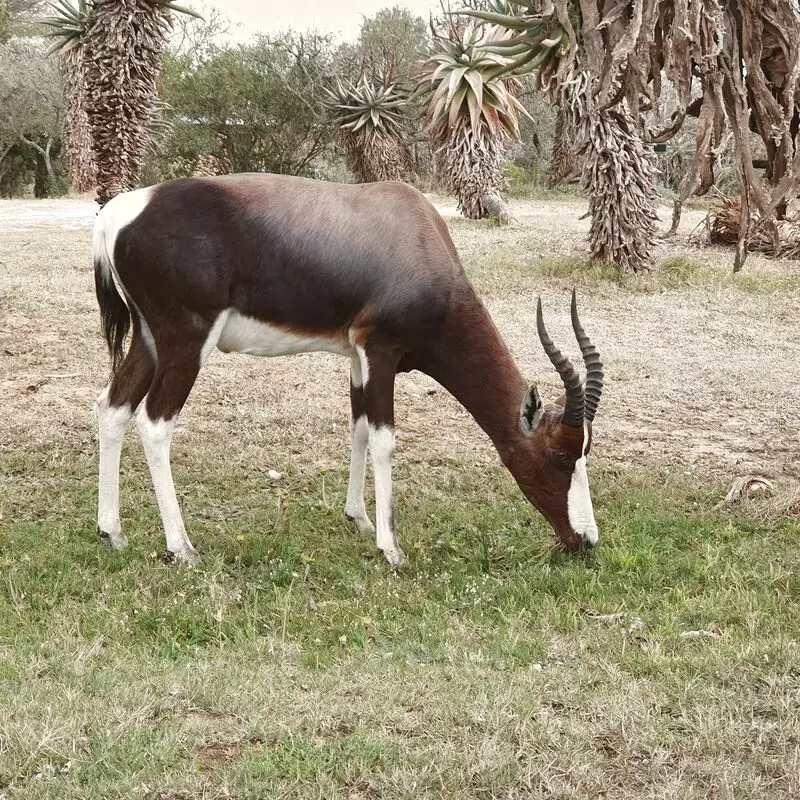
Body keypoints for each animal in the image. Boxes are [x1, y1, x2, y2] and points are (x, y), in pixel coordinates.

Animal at [94, 174, 604, 564]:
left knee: (113, 407)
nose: (586, 541)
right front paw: (391, 548)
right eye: (561, 455)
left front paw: (358, 519)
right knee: (155, 422)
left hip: (149, 339)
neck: (415, 232)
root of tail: (119, 213)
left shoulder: (357, 358)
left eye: (585, 452)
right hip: (187, 341)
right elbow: (384, 439)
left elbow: (358, 426)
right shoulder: (380, 351)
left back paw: (111, 532)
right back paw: (181, 548)